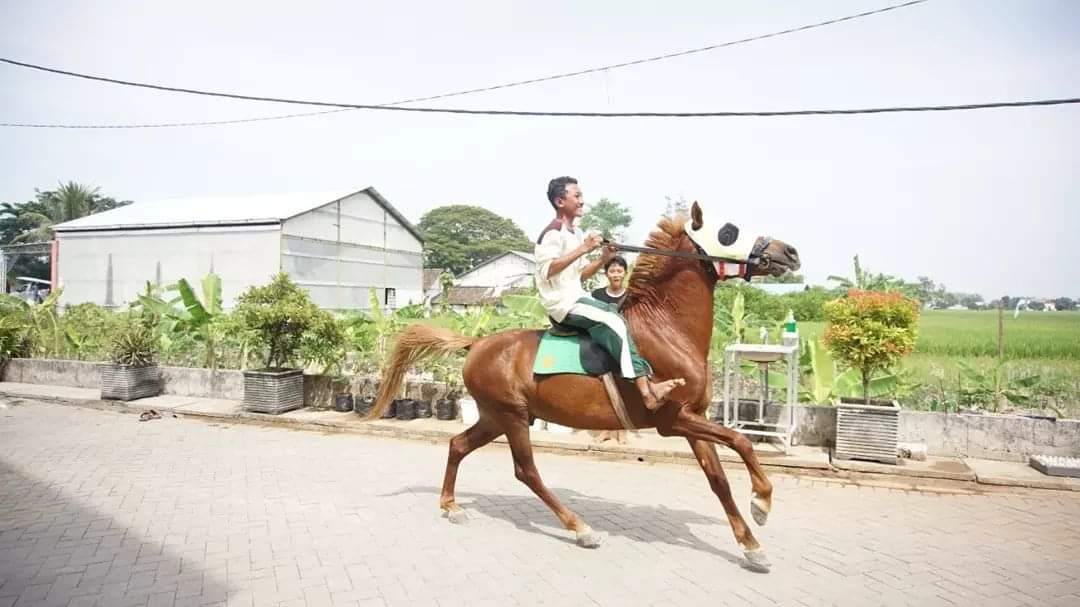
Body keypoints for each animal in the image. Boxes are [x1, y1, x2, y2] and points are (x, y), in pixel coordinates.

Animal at [371, 200, 803, 570]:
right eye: (728, 231)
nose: (790, 252)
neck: (666, 329)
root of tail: (476, 343)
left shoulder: (693, 418)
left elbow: (719, 479)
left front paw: (751, 545)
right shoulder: (673, 419)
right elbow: (742, 441)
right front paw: (762, 502)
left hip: (497, 416)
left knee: (458, 445)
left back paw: (451, 506)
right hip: (511, 417)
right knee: (526, 471)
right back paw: (580, 528)